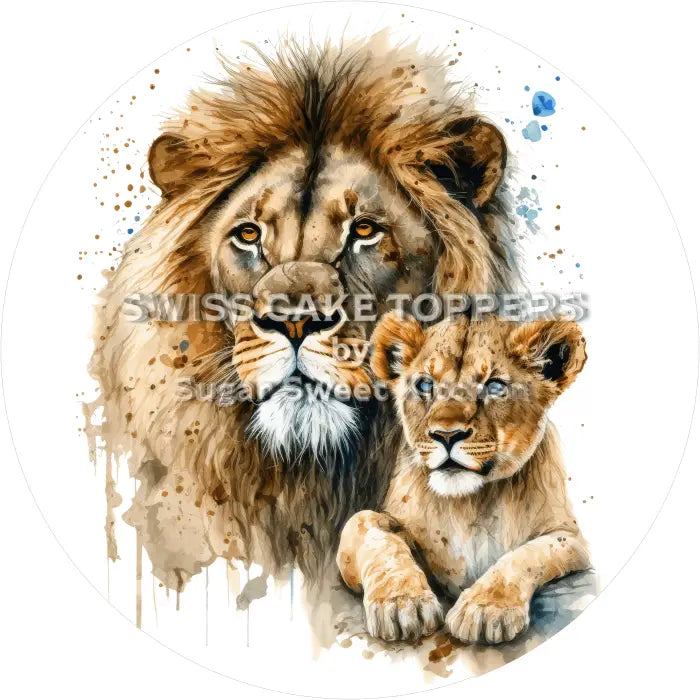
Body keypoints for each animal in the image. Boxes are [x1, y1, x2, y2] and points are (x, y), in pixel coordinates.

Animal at [337, 311, 589, 644]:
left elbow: (526, 554)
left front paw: (485, 609)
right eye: (425, 384)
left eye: (494, 386)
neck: (470, 503)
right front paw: (401, 603)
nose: (446, 435)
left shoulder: (571, 538)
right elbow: (366, 525)